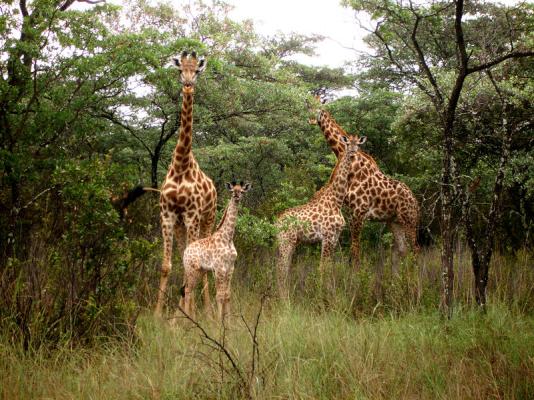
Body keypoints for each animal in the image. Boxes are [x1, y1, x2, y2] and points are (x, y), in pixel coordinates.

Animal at [181, 181, 252, 322]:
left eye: (241, 191)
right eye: (232, 191)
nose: (236, 196)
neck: (228, 237)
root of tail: (185, 252)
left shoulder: (230, 267)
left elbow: (227, 295)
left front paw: (229, 322)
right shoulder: (219, 268)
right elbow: (219, 296)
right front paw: (219, 322)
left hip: (200, 271)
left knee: (190, 291)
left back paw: (192, 319)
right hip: (191, 269)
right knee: (187, 291)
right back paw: (186, 321)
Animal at [276, 136, 364, 298]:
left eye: (358, 145)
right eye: (348, 143)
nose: (353, 153)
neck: (337, 200)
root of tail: (277, 222)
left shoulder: (334, 237)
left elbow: (329, 267)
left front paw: (329, 292)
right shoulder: (327, 236)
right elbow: (323, 267)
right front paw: (322, 295)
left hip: (289, 242)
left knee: (283, 267)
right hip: (286, 241)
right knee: (281, 268)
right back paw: (283, 298)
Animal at [312, 101, 420, 270]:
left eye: (315, 107)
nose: (310, 120)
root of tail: (415, 201)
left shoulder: (359, 211)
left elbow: (355, 248)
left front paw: (357, 275)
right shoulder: (350, 211)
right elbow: (352, 248)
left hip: (409, 219)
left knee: (416, 248)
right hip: (394, 221)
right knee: (403, 249)